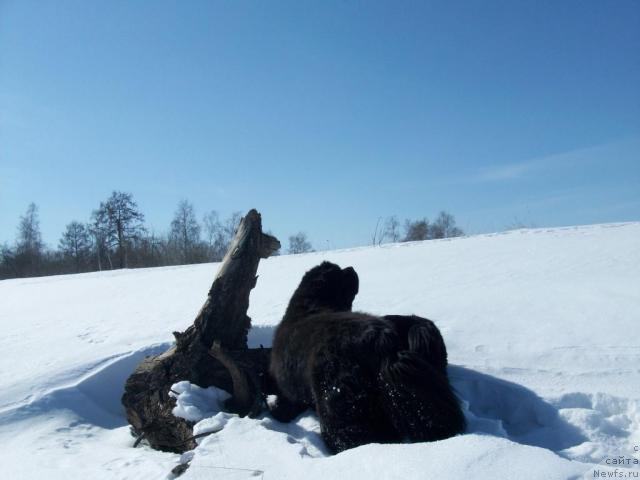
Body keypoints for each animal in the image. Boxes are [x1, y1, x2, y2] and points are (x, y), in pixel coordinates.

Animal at [268, 262, 464, 454]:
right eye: (338, 272)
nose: (350, 268)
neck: (310, 306)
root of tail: (383, 341)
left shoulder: (288, 392)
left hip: (338, 405)